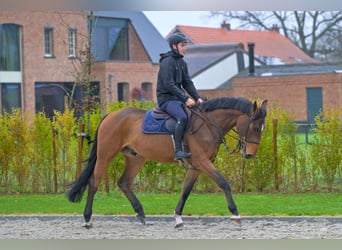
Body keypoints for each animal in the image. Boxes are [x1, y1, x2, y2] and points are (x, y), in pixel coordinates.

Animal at [67, 97, 268, 229]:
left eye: (262, 129)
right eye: (255, 127)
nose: (250, 154)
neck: (208, 124)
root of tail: (111, 115)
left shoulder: (196, 166)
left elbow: (186, 191)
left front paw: (178, 217)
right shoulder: (203, 162)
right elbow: (224, 183)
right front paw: (235, 214)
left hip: (136, 158)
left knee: (124, 182)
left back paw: (141, 214)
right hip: (105, 155)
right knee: (94, 182)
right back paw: (87, 219)